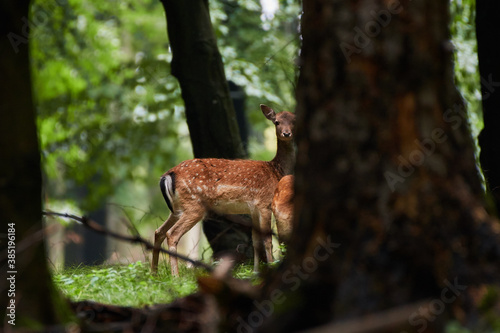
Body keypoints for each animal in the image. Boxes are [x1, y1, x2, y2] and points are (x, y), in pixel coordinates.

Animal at [150, 104, 294, 274]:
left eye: (294, 121)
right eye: (277, 122)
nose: (287, 133)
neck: (276, 171)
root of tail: (168, 175)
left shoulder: (253, 210)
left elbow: (255, 240)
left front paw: (255, 271)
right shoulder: (264, 203)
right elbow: (267, 240)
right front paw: (270, 267)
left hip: (177, 208)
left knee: (158, 231)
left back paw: (154, 273)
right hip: (194, 206)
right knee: (172, 234)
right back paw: (175, 276)